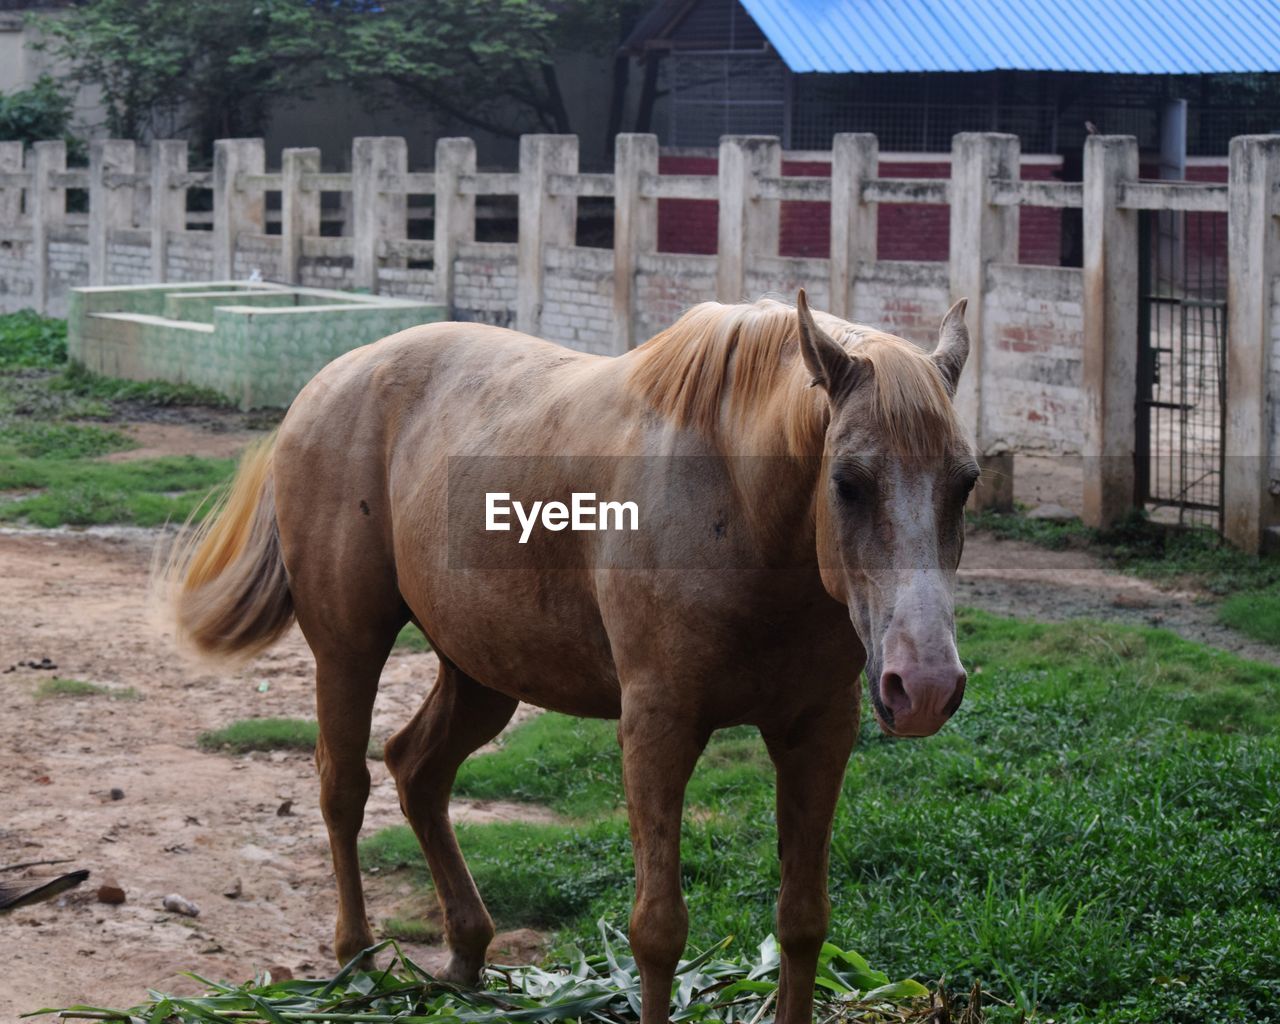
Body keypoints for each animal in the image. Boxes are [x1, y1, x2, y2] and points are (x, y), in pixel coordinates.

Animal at [167, 288, 967, 1024]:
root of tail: (331, 379)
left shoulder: (818, 731)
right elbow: (658, 931)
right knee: (344, 787)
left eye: (965, 483)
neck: (734, 500)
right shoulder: (657, 727)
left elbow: (803, 921)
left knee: (416, 770)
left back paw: (465, 957)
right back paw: (357, 965)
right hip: (348, 649)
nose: (925, 686)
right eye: (847, 482)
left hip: (482, 672)